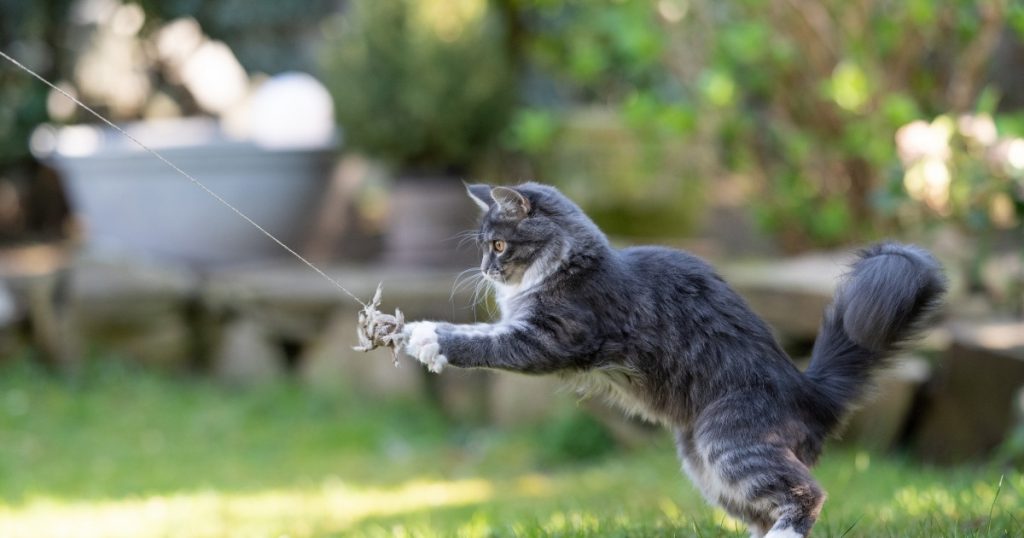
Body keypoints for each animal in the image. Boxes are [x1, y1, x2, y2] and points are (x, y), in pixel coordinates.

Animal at [397, 182, 942, 532]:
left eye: (498, 244)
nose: (485, 270)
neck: (569, 265)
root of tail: (811, 392)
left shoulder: (553, 337)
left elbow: (480, 342)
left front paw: (429, 339)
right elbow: (480, 330)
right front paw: (409, 332)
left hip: (728, 441)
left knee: (807, 495)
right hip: (701, 461)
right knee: (762, 509)